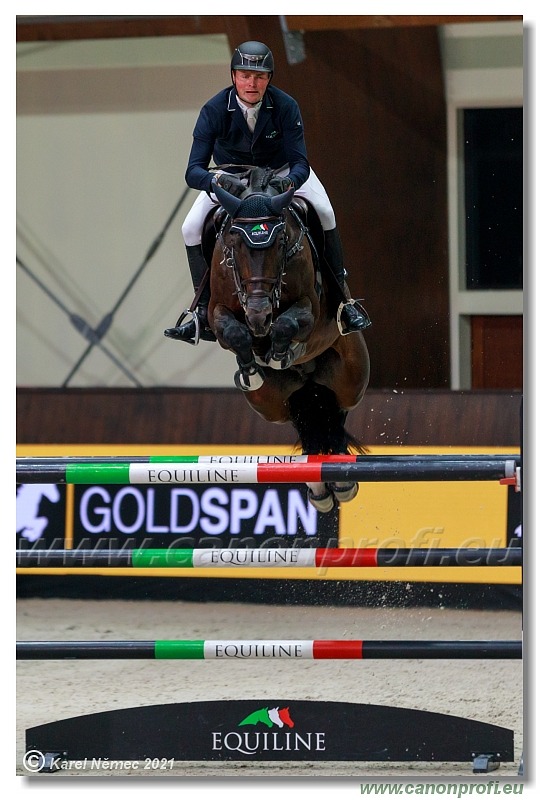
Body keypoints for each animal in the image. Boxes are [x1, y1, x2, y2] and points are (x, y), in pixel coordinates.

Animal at [202, 166, 372, 512]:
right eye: (234, 241)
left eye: (280, 241)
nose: (258, 315)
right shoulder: (216, 312)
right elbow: (235, 333)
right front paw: (252, 367)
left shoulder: (311, 311)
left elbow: (288, 324)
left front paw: (282, 352)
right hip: (270, 405)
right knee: (308, 423)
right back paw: (321, 484)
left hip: (351, 381)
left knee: (335, 417)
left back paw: (340, 479)